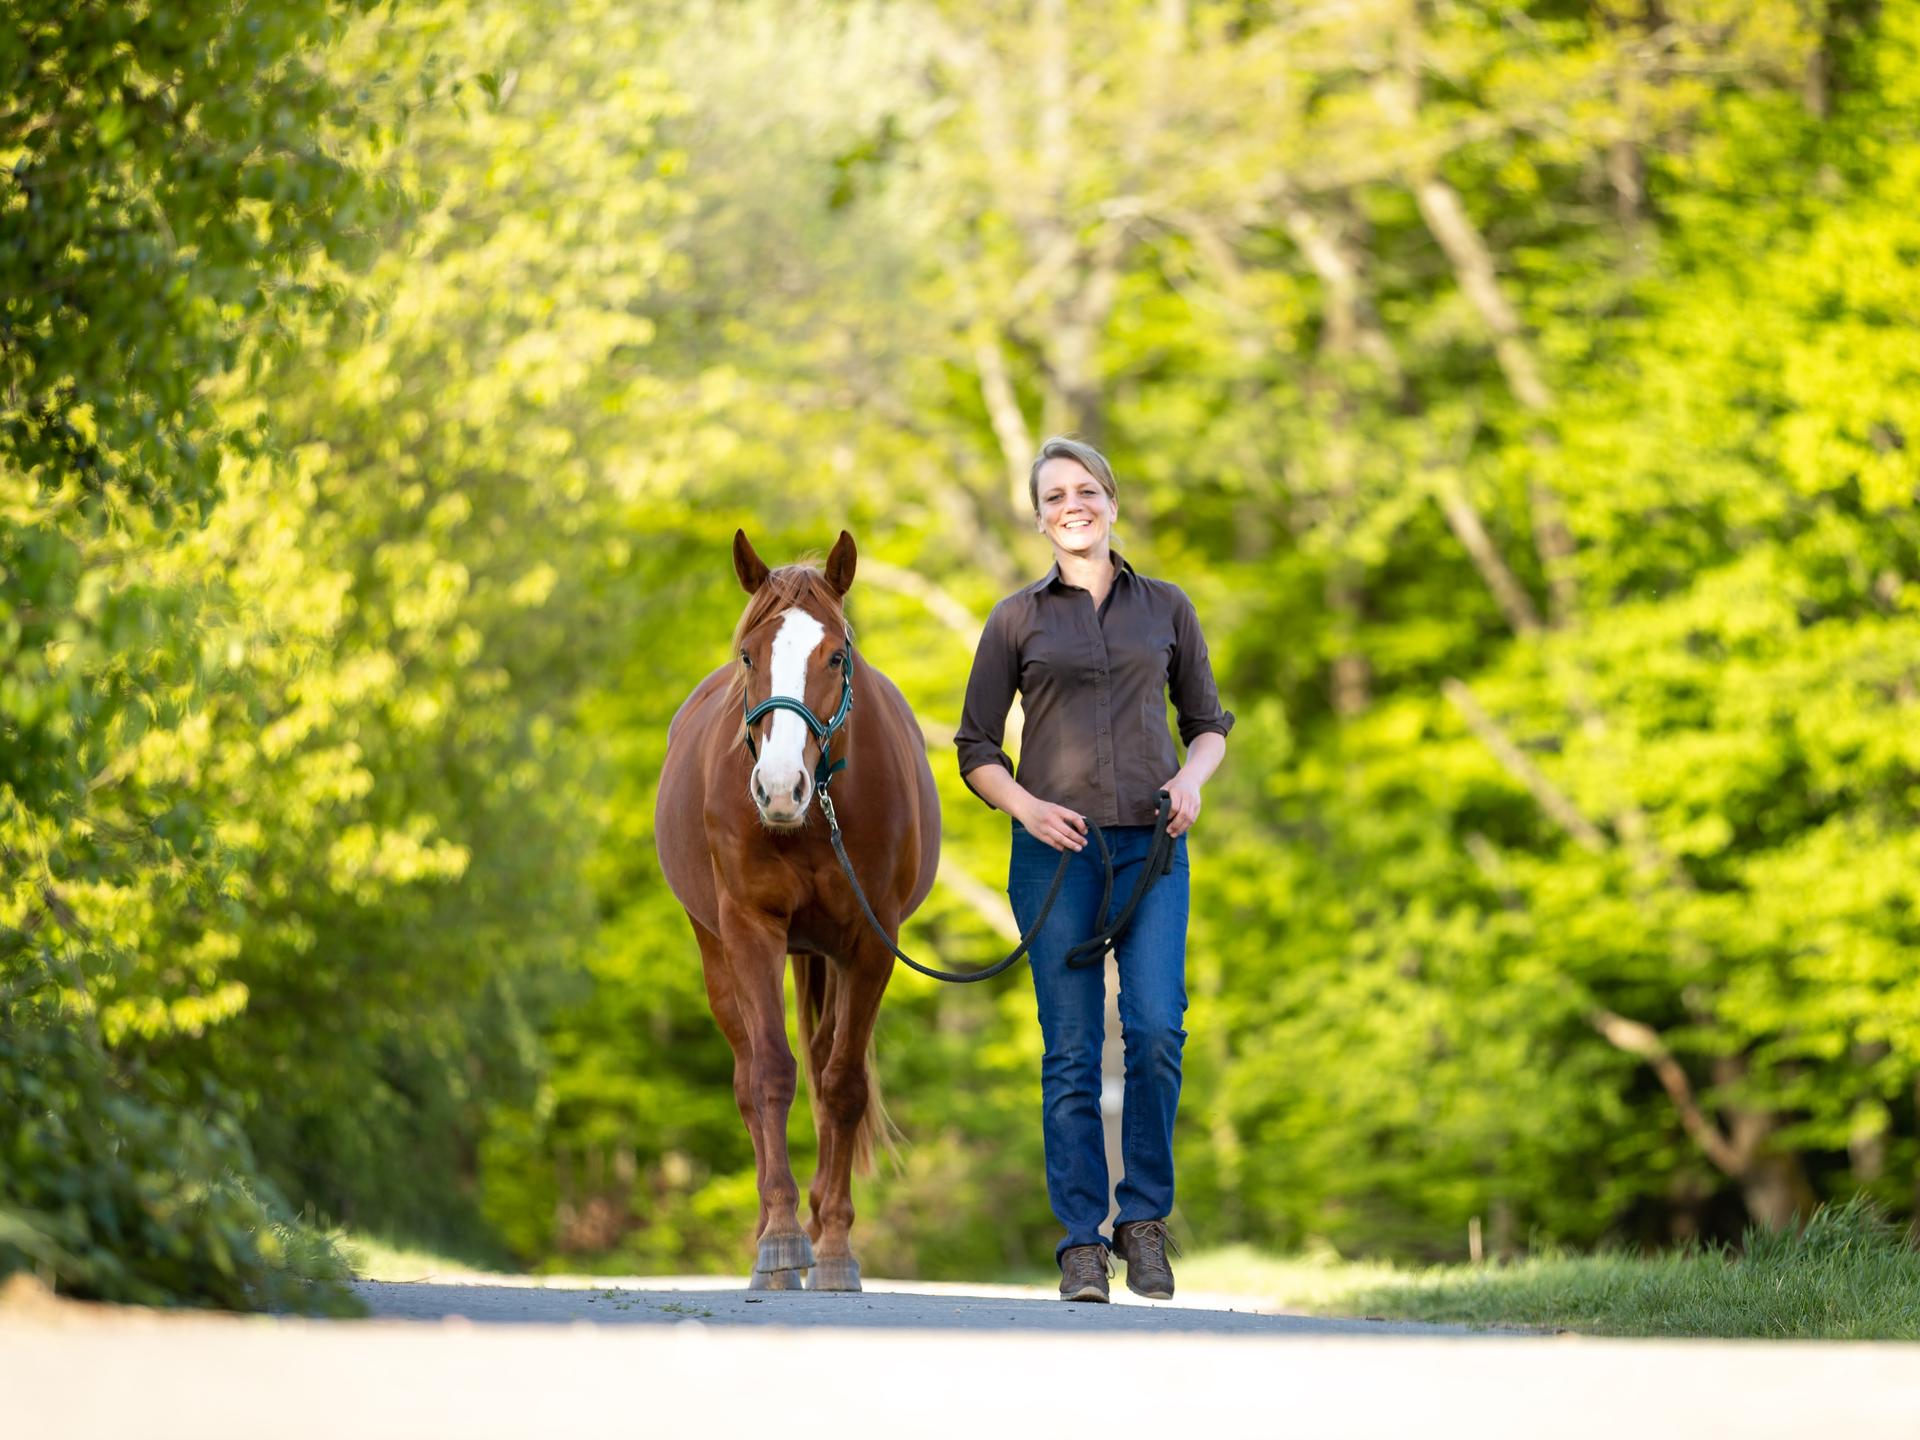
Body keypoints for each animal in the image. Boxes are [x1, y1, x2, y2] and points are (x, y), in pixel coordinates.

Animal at [654, 528, 940, 1290]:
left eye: (836, 655)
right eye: (748, 655)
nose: (779, 787)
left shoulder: (871, 944)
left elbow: (840, 1086)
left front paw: (834, 1244)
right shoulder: (751, 930)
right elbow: (772, 1076)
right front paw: (781, 1239)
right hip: (716, 949)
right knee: (749, 1077)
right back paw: (770, 1228)